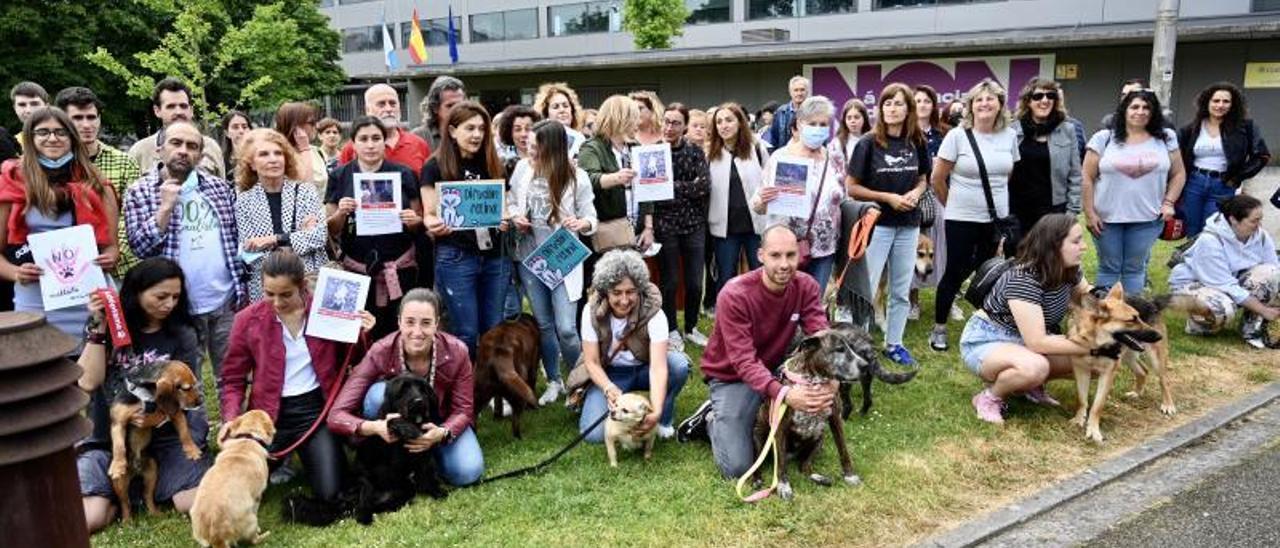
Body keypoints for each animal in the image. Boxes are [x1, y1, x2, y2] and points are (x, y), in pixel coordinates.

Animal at [108, 361, 204, 519]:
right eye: (186, 388)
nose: (200, 401)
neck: (147, 393)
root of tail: (136, 470)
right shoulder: (118, 422)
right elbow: (119, 446)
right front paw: (117, 466)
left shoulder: (174, 411)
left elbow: (185, 432)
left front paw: (192, 450)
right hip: (120, 483)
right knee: (125, 503)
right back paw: (127, 521)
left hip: (152, 472)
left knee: (147, 496)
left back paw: (155, 513)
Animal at [189, 409, 275, 548]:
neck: (248, 438)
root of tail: (216, 536)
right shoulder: (257, 497)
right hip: (251, 519)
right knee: (254, 539)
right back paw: (264, 535)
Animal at [752, 325, 916, 501]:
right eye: (839, 349)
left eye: (852, 347)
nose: (865, 365)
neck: (814, 381)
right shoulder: (780, 427)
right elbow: (780, 463)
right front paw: (783, 486)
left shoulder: (835, 418)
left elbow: (844, 450)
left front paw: (850, 476)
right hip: (760, 437)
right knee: (759, 463)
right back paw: (757, 480)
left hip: (819, 438)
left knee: (805, 467)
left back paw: (819, 478)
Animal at [1064, 284, 1167, 443]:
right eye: (1132, 320)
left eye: (1139, 317)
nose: (1158, 336)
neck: (1095, 345)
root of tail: (1151, 302)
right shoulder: (1081, 371)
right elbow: (1081, 400)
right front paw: (1078, 420)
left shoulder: (1108, 374)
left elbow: (1097, 406)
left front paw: (1093, 431)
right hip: (1128, 357)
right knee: (1143, 371)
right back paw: (1137, 393)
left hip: (1155, 359)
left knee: (1164, 380)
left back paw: (1168, 405)